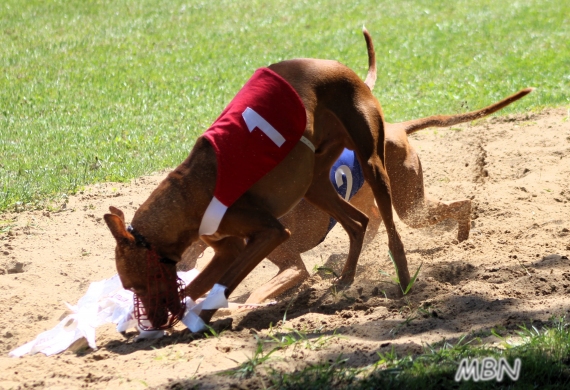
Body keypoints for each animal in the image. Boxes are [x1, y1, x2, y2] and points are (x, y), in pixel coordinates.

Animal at [104, 29, 410, 330]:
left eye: (136, 285)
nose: (155, 321)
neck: (187, 195)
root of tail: (345, 69)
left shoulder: (271, 233)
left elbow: (224, 283)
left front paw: (201, 319)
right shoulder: (226, 250)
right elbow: (198, 287)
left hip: (371, 165)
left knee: (391, 233)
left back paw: (405, 282)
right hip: (314, 185)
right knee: (358, 223)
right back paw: (345, 279)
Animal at [180, 87, 532, 304]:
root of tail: (397, 128)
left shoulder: (293, 266)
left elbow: (258, 292)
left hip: (409, 206)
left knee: (461, 204)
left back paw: (462, 239)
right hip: (365, 196)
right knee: (371, 222)